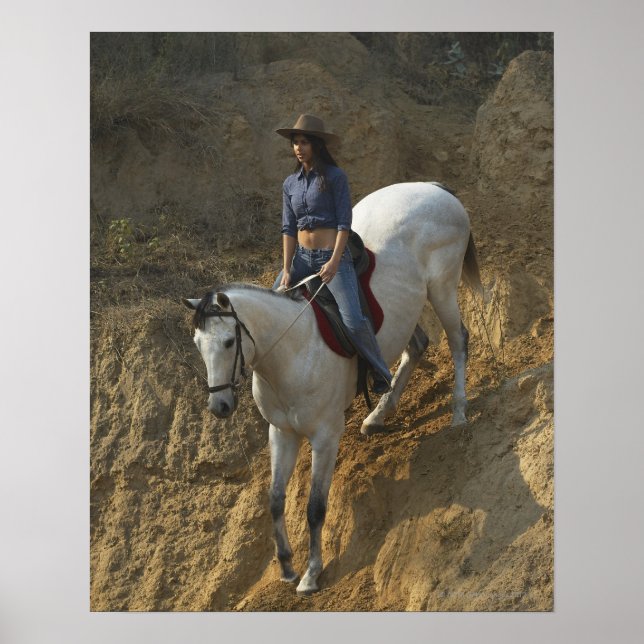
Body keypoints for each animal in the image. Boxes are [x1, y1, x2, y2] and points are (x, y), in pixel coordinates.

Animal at [183, 182, 482, 595]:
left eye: (229, 342)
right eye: (198, 343)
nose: (220, 406)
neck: (290, 353)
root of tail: (436, 188)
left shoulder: (325, 436)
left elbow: (315, 506)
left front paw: (311, 573)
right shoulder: (282, 432)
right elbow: (275, 499)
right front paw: (286, 565)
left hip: (441, 290)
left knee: (457, 341)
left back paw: (458, 411)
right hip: (407, 312)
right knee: (417, 346)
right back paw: (378, 415)